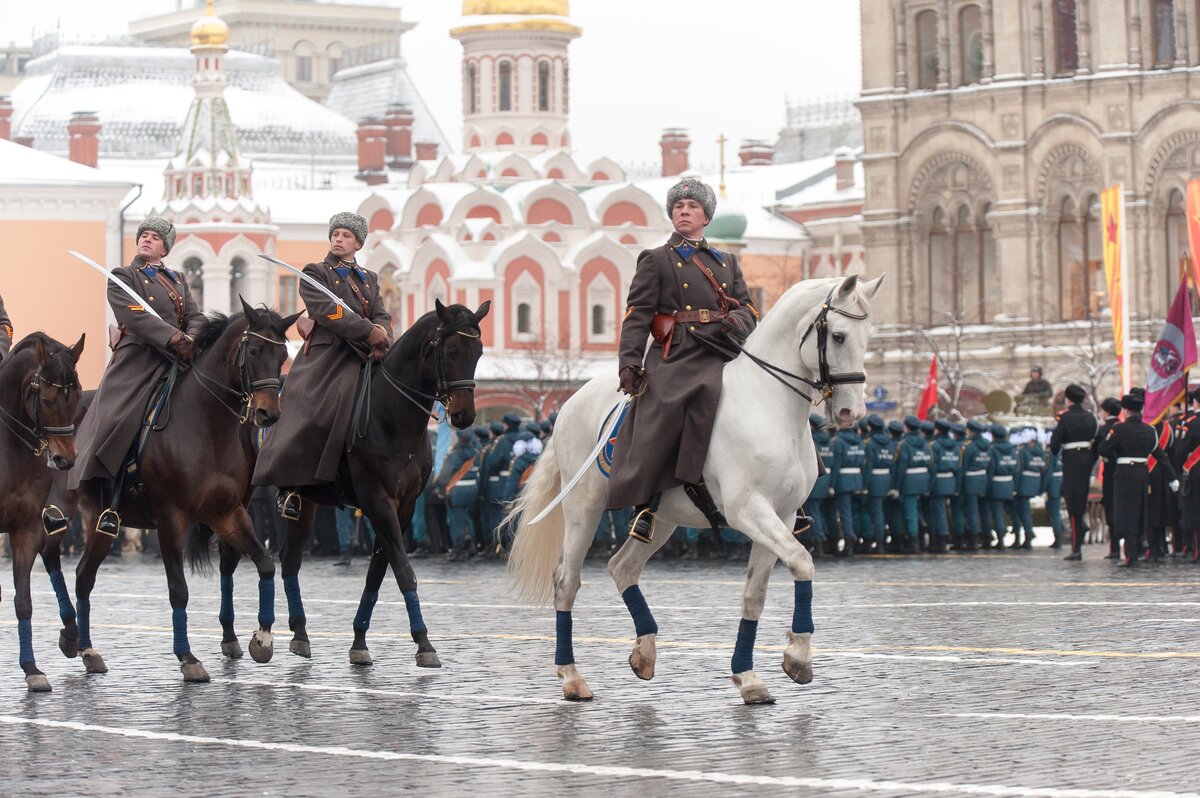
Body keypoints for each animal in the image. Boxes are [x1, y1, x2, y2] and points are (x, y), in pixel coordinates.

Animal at [66, 302, 298, 681]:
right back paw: (80, 645)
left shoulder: (228, 514)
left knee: (83, 575)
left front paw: (262, 638)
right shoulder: (170, 519)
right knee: (80, 576)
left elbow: (264, 564)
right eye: (253, 351)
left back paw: (80, 646)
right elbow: (179, 590)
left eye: (281, 355)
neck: (206, 425)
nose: (269, 413)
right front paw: (187, 657)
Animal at [506, 273, 883, 705]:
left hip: (662, 520)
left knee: (622, 567)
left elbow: (756, 593)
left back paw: (645, 651)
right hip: (583, 509)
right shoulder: (748, 510)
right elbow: (803, 561)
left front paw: (749, 676)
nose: (852, 412)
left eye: (869, 336)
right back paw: (571, 676)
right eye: (838, 336)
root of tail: (569, 404)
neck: (768, 405)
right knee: (567, 581)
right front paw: (798, 656)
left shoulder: (783, 515)